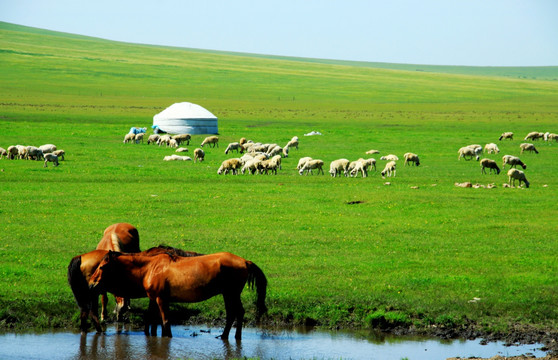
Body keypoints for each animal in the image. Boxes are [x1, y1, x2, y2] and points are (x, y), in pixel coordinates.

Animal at [88, 250, 270, 338]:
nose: (91, 283)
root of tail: (245, 261)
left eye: (102, 267)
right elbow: (151, 320)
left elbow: (166, 321)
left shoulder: (162, 299)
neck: (150, 268)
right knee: (233, 313)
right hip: (228, 294)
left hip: (231, 293)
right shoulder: (154, 299)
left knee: (237, 312)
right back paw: (226, 336)